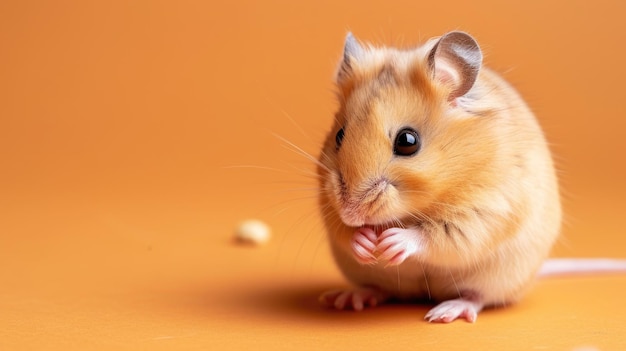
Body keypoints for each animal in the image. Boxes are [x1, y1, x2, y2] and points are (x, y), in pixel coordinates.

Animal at [316, 31, 624, 324]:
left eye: (407, 141)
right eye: (339, 135)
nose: (351, 214)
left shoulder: (488, 209)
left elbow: (439, 234)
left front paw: (393, 242)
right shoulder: (327, 204)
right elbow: (341, 231)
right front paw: (364, 241)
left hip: (498, 277)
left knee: (477, 298)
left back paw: (445, 311)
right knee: (381, 290)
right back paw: (348, 298)